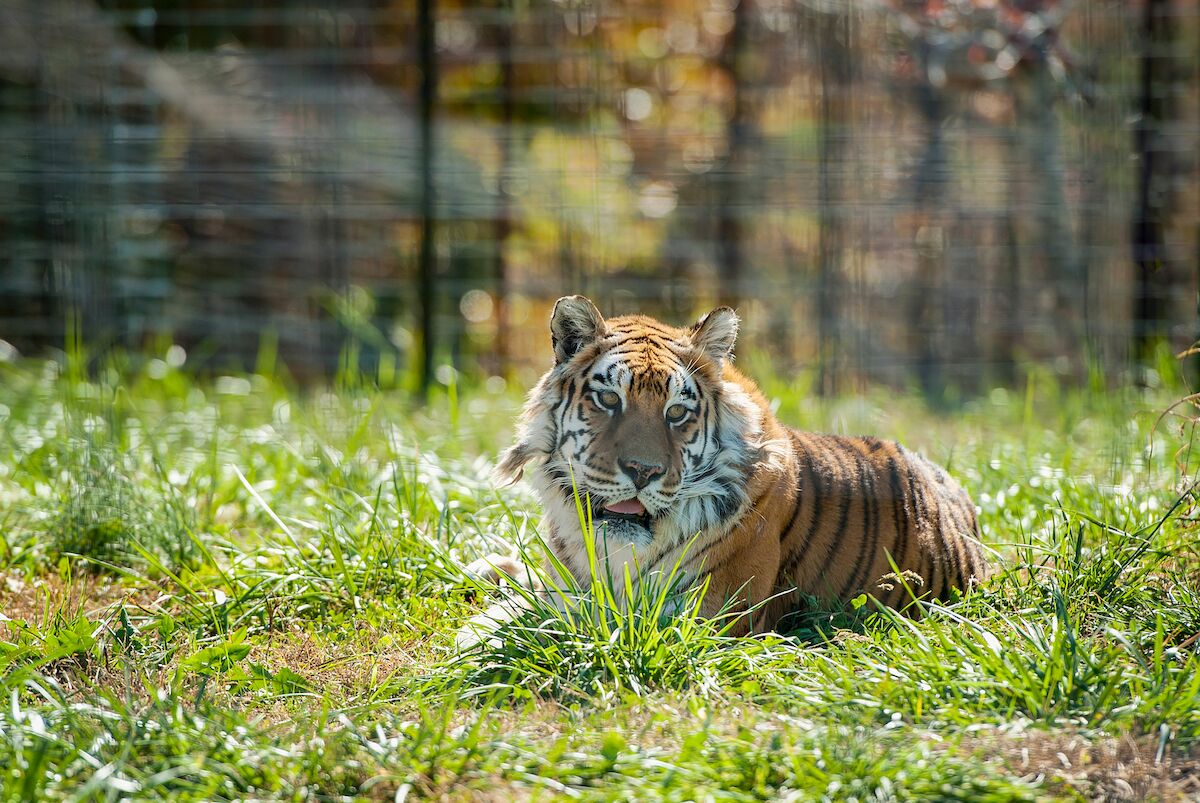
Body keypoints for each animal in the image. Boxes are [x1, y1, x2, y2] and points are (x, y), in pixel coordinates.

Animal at [463, 294, 988, 638]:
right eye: (609, 399)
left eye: (677, 412)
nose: (642, 471)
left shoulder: (708, 611)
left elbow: (573, 613)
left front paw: (488, 627)